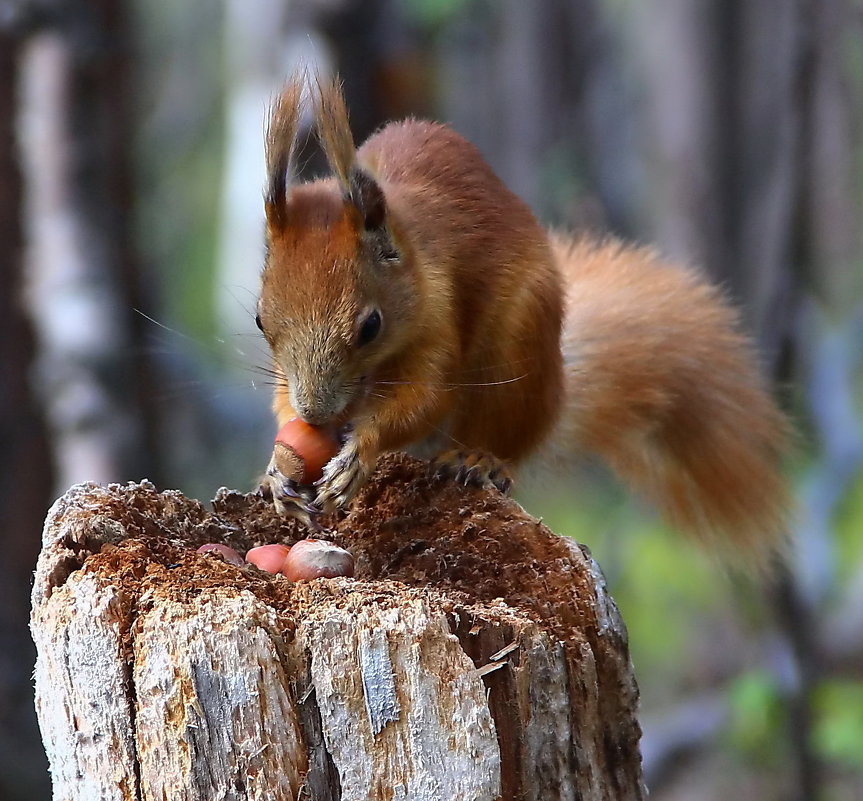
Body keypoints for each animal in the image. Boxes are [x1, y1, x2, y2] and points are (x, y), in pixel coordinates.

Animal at [256, 78, 788, 560]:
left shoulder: (441, 315)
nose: (316, 416)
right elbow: (282, 402)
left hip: (520, 352)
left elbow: (425, 397)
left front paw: (358, 453)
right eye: (261, 321)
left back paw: (479, 458)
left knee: (503, 440)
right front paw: (279, 470)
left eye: (371, 326)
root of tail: (554, 402)